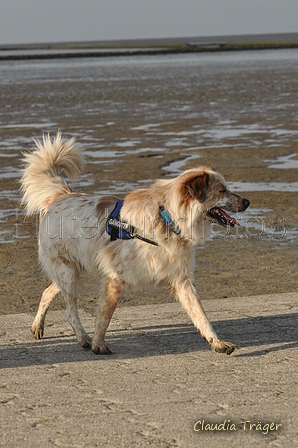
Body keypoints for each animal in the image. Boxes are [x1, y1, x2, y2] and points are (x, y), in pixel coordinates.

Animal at [21, 131, 249, 356]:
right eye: (222, 190)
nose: (247, 202)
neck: (166, 218)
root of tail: (61, 195)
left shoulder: (182, 279)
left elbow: (201, 315)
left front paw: (217, 343)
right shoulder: (114, 279)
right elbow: (104, 317)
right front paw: (98, 344)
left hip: (72, 269)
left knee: (48, 291)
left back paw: (38, 326)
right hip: (67, 271)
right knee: (69, 309)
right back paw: (83, 338)